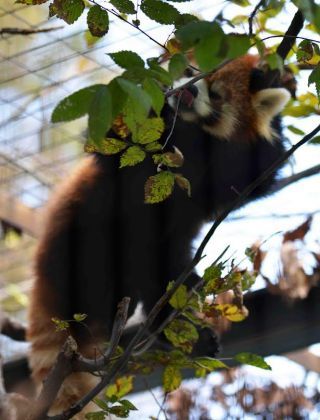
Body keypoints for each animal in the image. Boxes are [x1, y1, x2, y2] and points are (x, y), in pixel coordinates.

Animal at [28, 55, 292, 416]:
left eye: (217, 94)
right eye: (193, 72)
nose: (189, 92)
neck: (194, 140)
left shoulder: (224, 174)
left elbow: (256, 176)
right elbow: (116, 140)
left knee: (167, 284)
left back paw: (186, 330)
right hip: (84, 239)